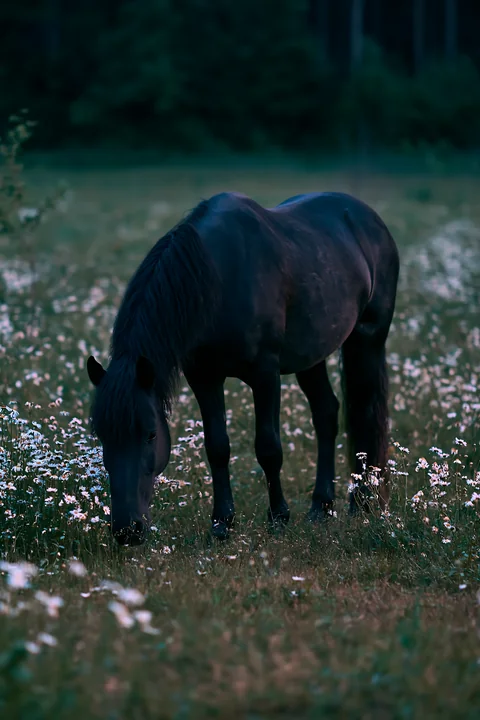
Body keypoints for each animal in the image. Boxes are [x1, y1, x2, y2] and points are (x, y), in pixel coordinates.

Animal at [87, 191, 399, 545]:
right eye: (101, 434)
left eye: (151, 434)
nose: (127, 530)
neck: (217, 278)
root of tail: (368, 218)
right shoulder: (203, 377)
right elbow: (217, 447)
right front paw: (222, 523)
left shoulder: (264, 373)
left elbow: (268, 448)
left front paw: (278, 517)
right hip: (311, 354)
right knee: (326, 414)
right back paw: (322, 507)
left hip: (367, 337)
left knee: (365, 414)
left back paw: (362, 503)